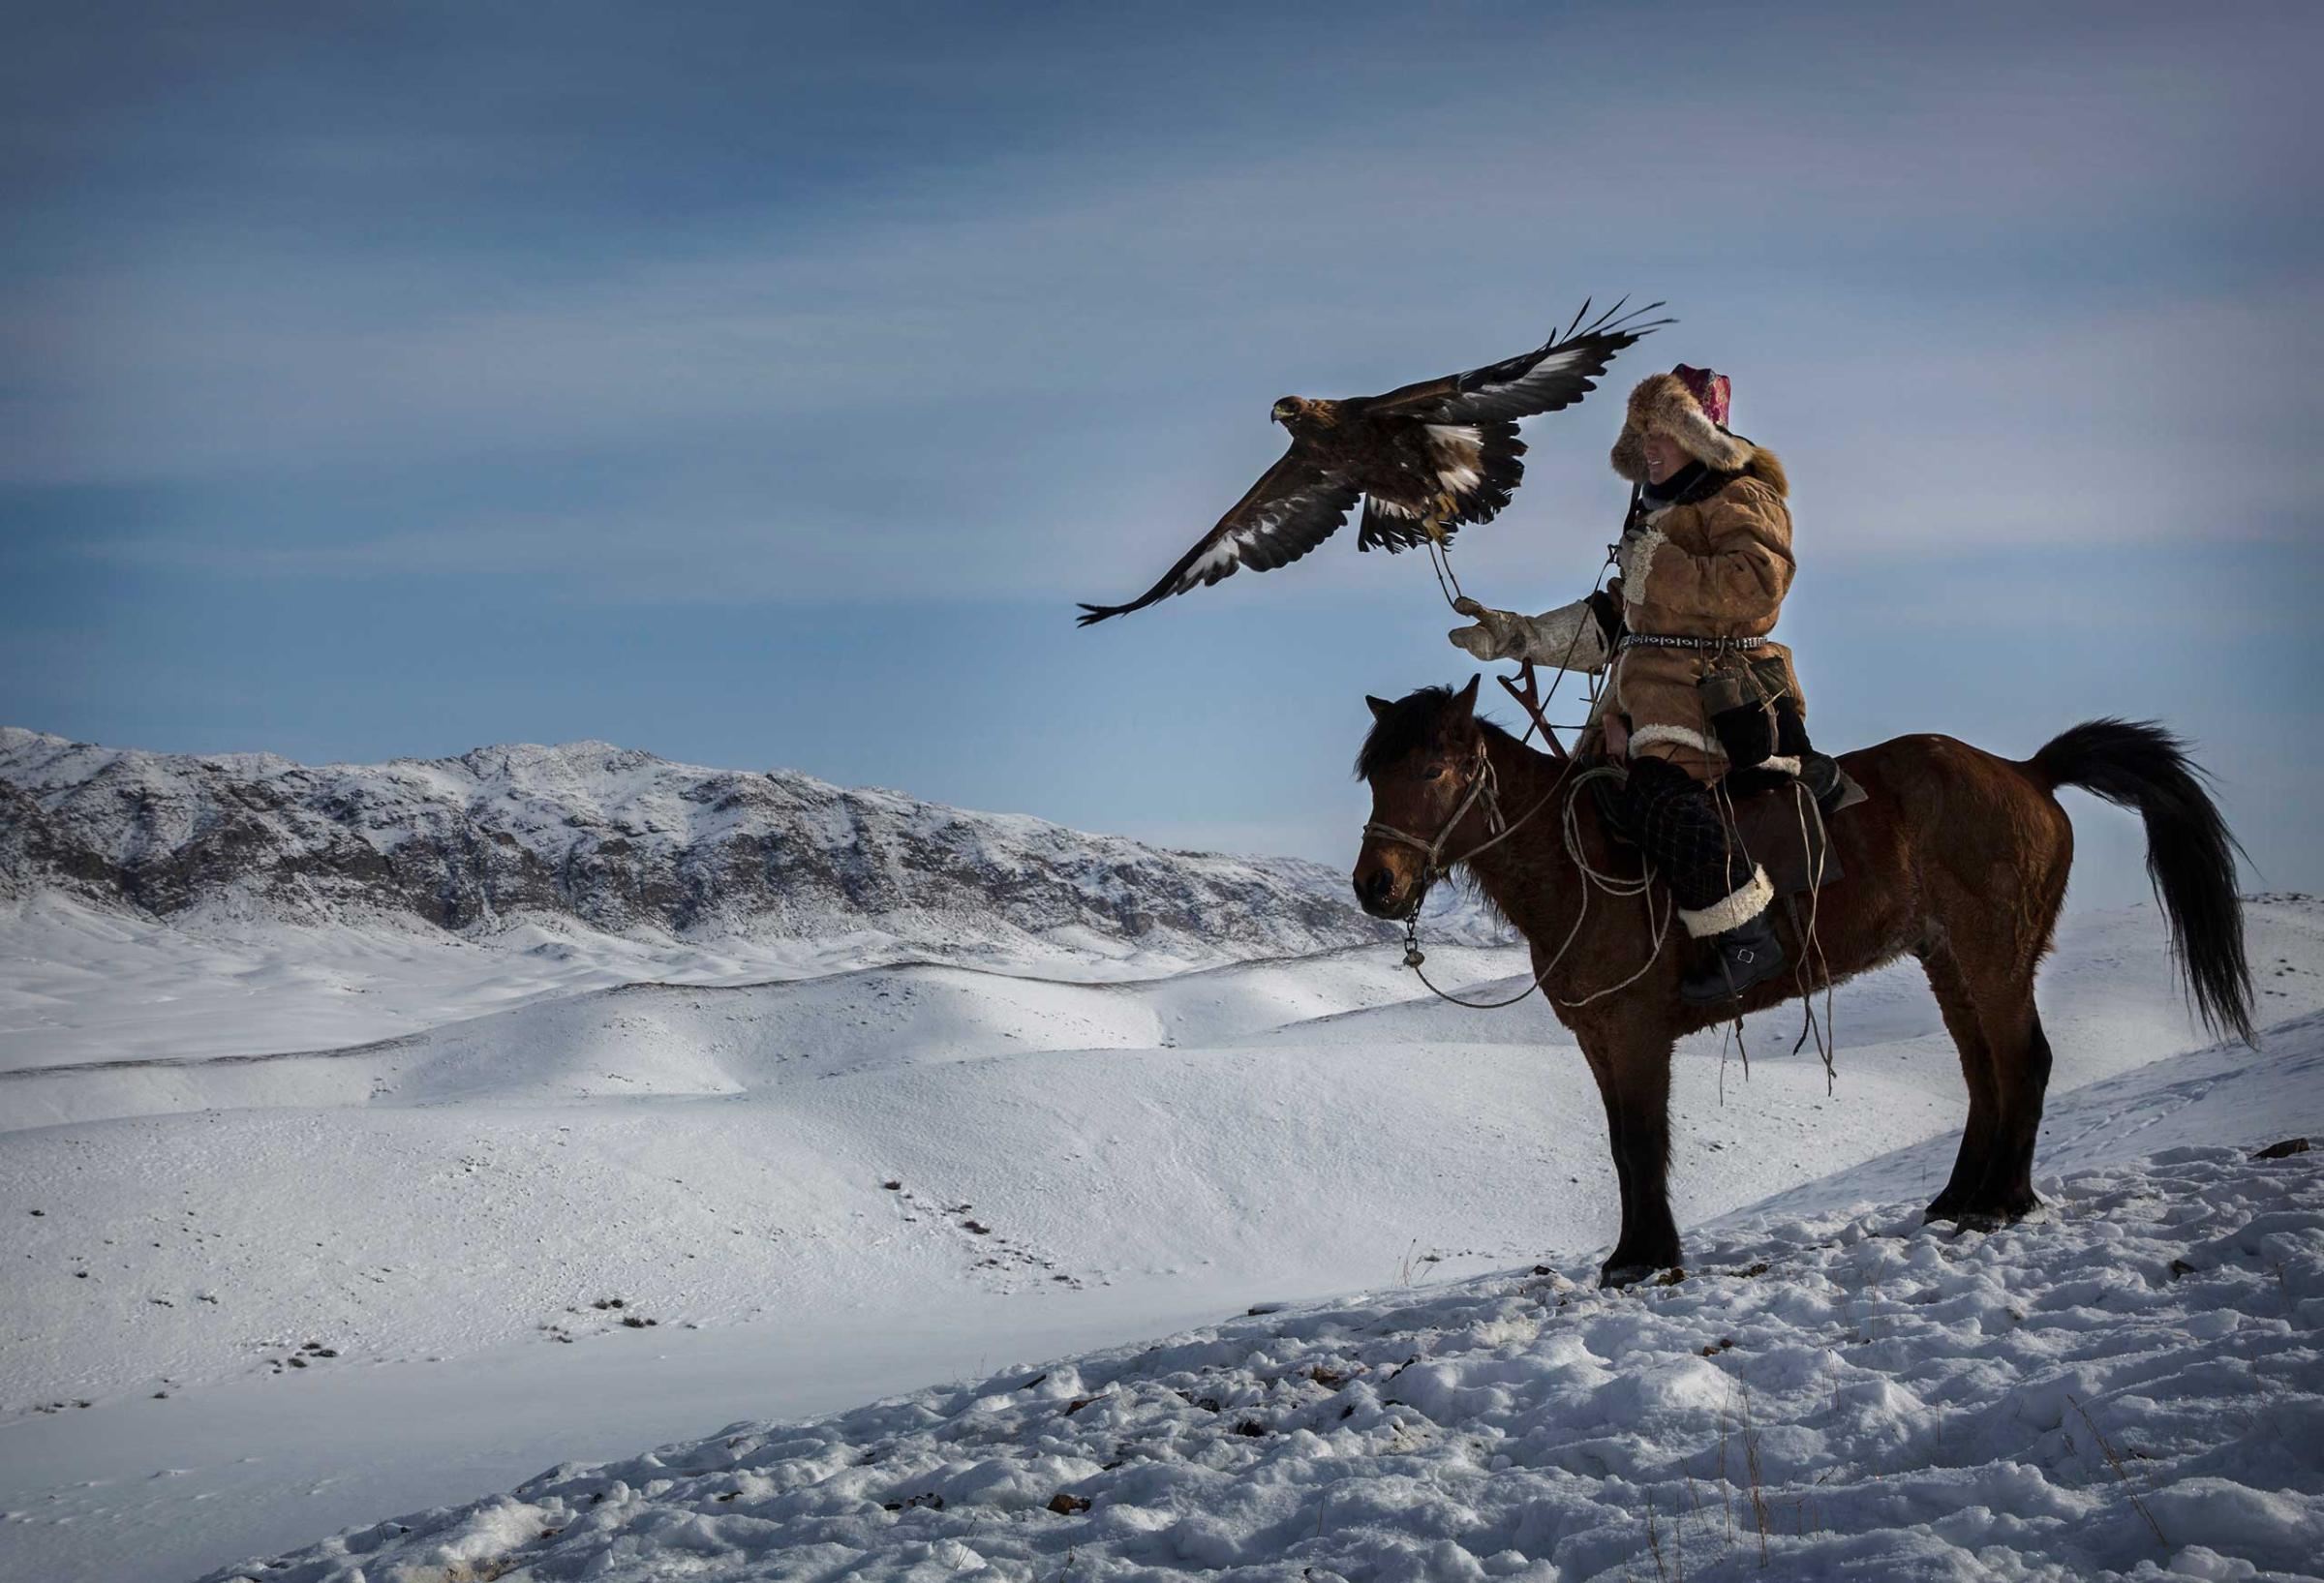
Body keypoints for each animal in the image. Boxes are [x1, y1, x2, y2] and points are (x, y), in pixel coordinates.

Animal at [1357, 674, 2249, 1283]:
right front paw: (1629, 1254)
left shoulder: (1636, 1033)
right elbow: (1619, 1145)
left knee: (2023, 1061)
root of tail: (2027, 773)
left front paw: (1648, 1257)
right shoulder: (1601, 1038)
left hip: (1993, 954)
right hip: (1949, 959)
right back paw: (1960, 1197)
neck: (1578, 865)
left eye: (1433, 771)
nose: (1376, 886)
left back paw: (2002, 1200)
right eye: (1374, 776)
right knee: (1985, 1073)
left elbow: (1641, 1141)